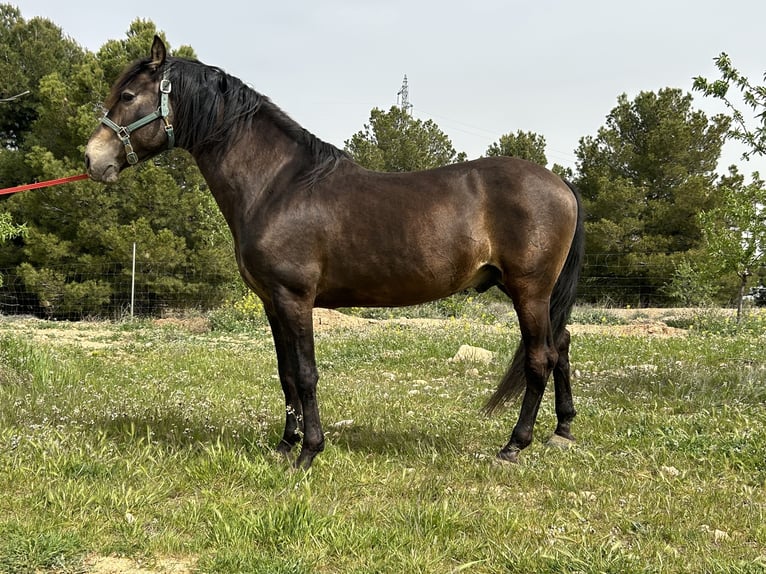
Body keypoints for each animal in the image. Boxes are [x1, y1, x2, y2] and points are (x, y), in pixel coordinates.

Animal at [84, 36, 584, 470]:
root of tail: (560, 183)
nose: (92, 160)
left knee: (540, 358)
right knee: (560, 344)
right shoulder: (272, 302)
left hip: (529, 290)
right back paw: (562, 430)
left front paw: (309, 452)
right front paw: (285, 444)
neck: (278, 186)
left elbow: (306, 373)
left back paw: (515, 445)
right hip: (536, 295)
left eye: (127, 95)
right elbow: (286, 373)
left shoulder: (295, 298)